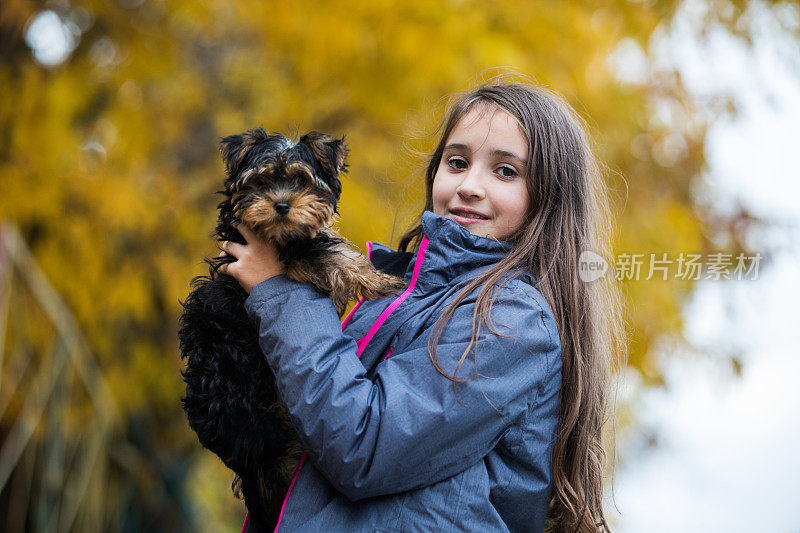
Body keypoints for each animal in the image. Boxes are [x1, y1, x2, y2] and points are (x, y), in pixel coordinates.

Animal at [181, 128, 406, 528]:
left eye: (301, 181)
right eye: (261, 183)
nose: (282, 206)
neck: (279, 234)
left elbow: (333, 250)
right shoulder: (290, 254)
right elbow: (332, 255)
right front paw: (383, 282)